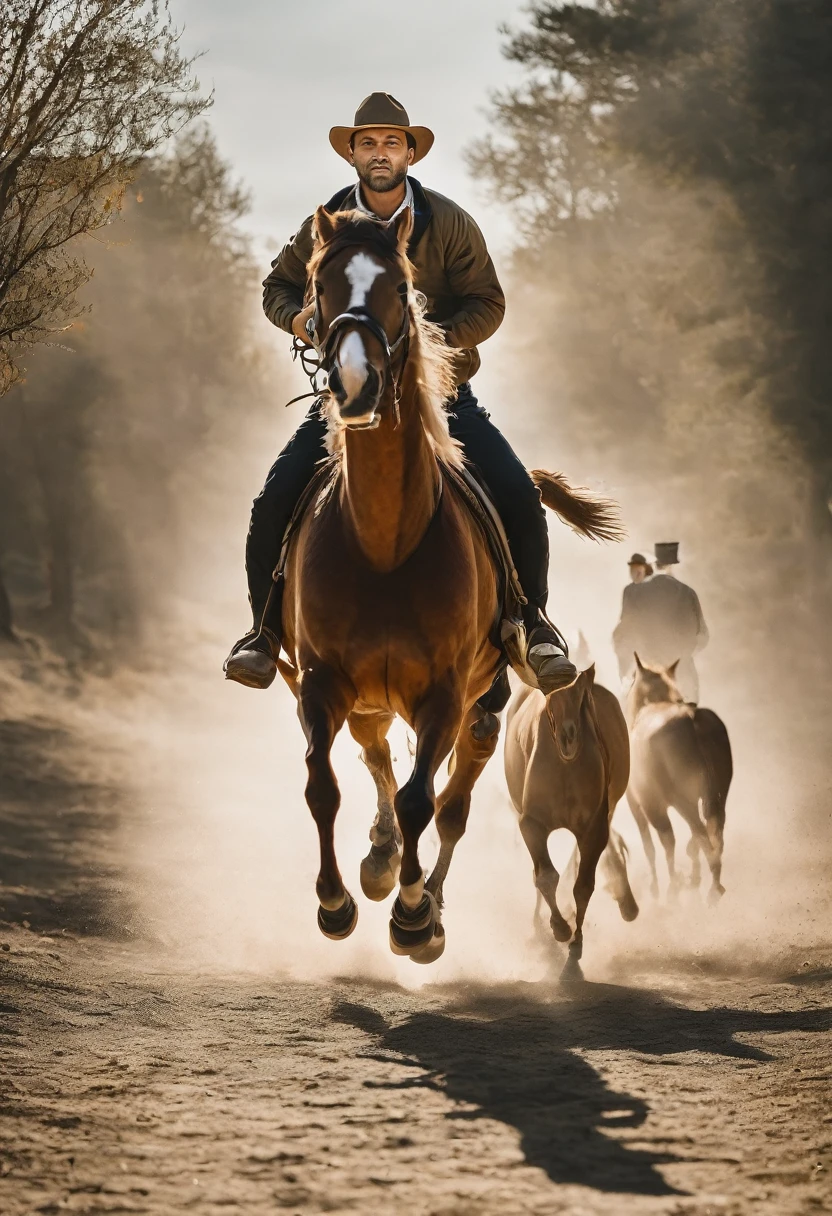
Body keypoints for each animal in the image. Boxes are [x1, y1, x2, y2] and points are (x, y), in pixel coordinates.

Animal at [276, 211, 620, 967]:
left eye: (400, 287)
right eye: (321, 284)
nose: (354, 383)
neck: (384, 541)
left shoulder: (443, 691)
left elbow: (422, 803)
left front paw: (411, 917)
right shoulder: (321, 682)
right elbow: (323, 785)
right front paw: (336, 902)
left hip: (482, 704)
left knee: (452, 800)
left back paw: (426, 904)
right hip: (369, 701)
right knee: (376, 759)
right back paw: (378, 863)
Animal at [503, 671, 642, 972]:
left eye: (580, 699)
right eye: (549, 702)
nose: (568, 736)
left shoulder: (593, 828)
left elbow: (583, 884)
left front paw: (576, 939)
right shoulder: (531, 824)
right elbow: (545, 876)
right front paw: (558, 927)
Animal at [627, 656, 729, 904]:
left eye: (632, 677)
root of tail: (693, 720)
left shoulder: (642, 804)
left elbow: (657, 845)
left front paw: (666, 888)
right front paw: (689, 879)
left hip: (680, 797)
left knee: (699, 832)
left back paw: (709, 888)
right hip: (718, 792)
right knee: (714, 832)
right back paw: (712, 883)